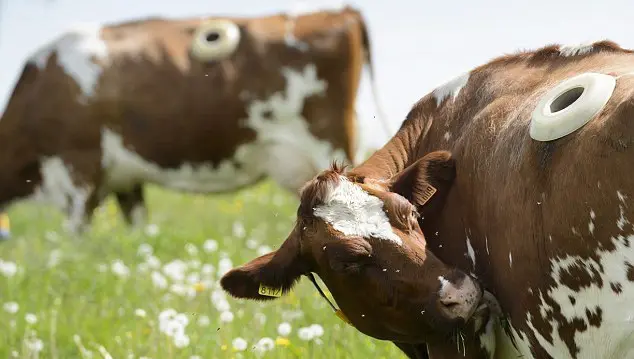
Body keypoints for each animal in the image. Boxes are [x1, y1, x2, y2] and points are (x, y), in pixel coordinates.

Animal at [0, 6, 388, 236]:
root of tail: (342, 11)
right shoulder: (125, 180)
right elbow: (137, 229)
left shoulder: (79, 167)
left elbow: (76, 235)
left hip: (329, 143)